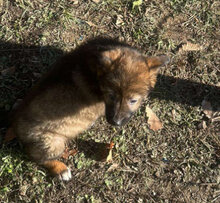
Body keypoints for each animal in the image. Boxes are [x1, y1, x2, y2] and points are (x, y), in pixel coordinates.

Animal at [6, 37, 168, 181]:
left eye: (133, 100)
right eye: (111, 96)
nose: (115, 122)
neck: (96, 73)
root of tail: (14, 124)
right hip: (52, 142)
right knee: (35, 156)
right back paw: (60, 169)